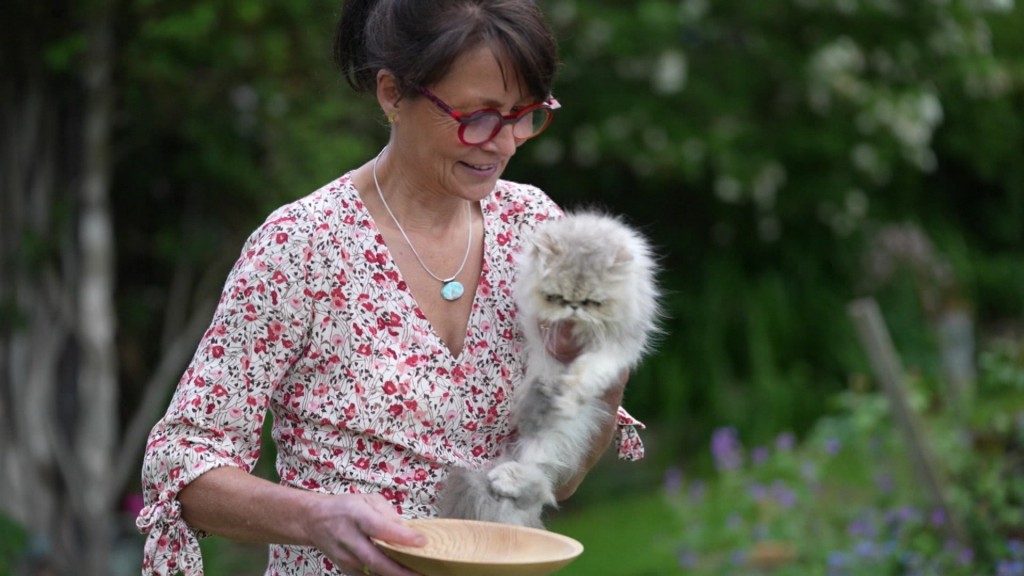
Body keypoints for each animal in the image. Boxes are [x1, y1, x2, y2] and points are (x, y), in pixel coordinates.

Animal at [436, 210, 659, 524]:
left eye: (593, 302)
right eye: (556, 297)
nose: (574, 307)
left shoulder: (615, 348)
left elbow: (589, 372)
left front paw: (568, 394)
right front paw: (550, 391)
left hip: (559, 436)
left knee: (540, 482)